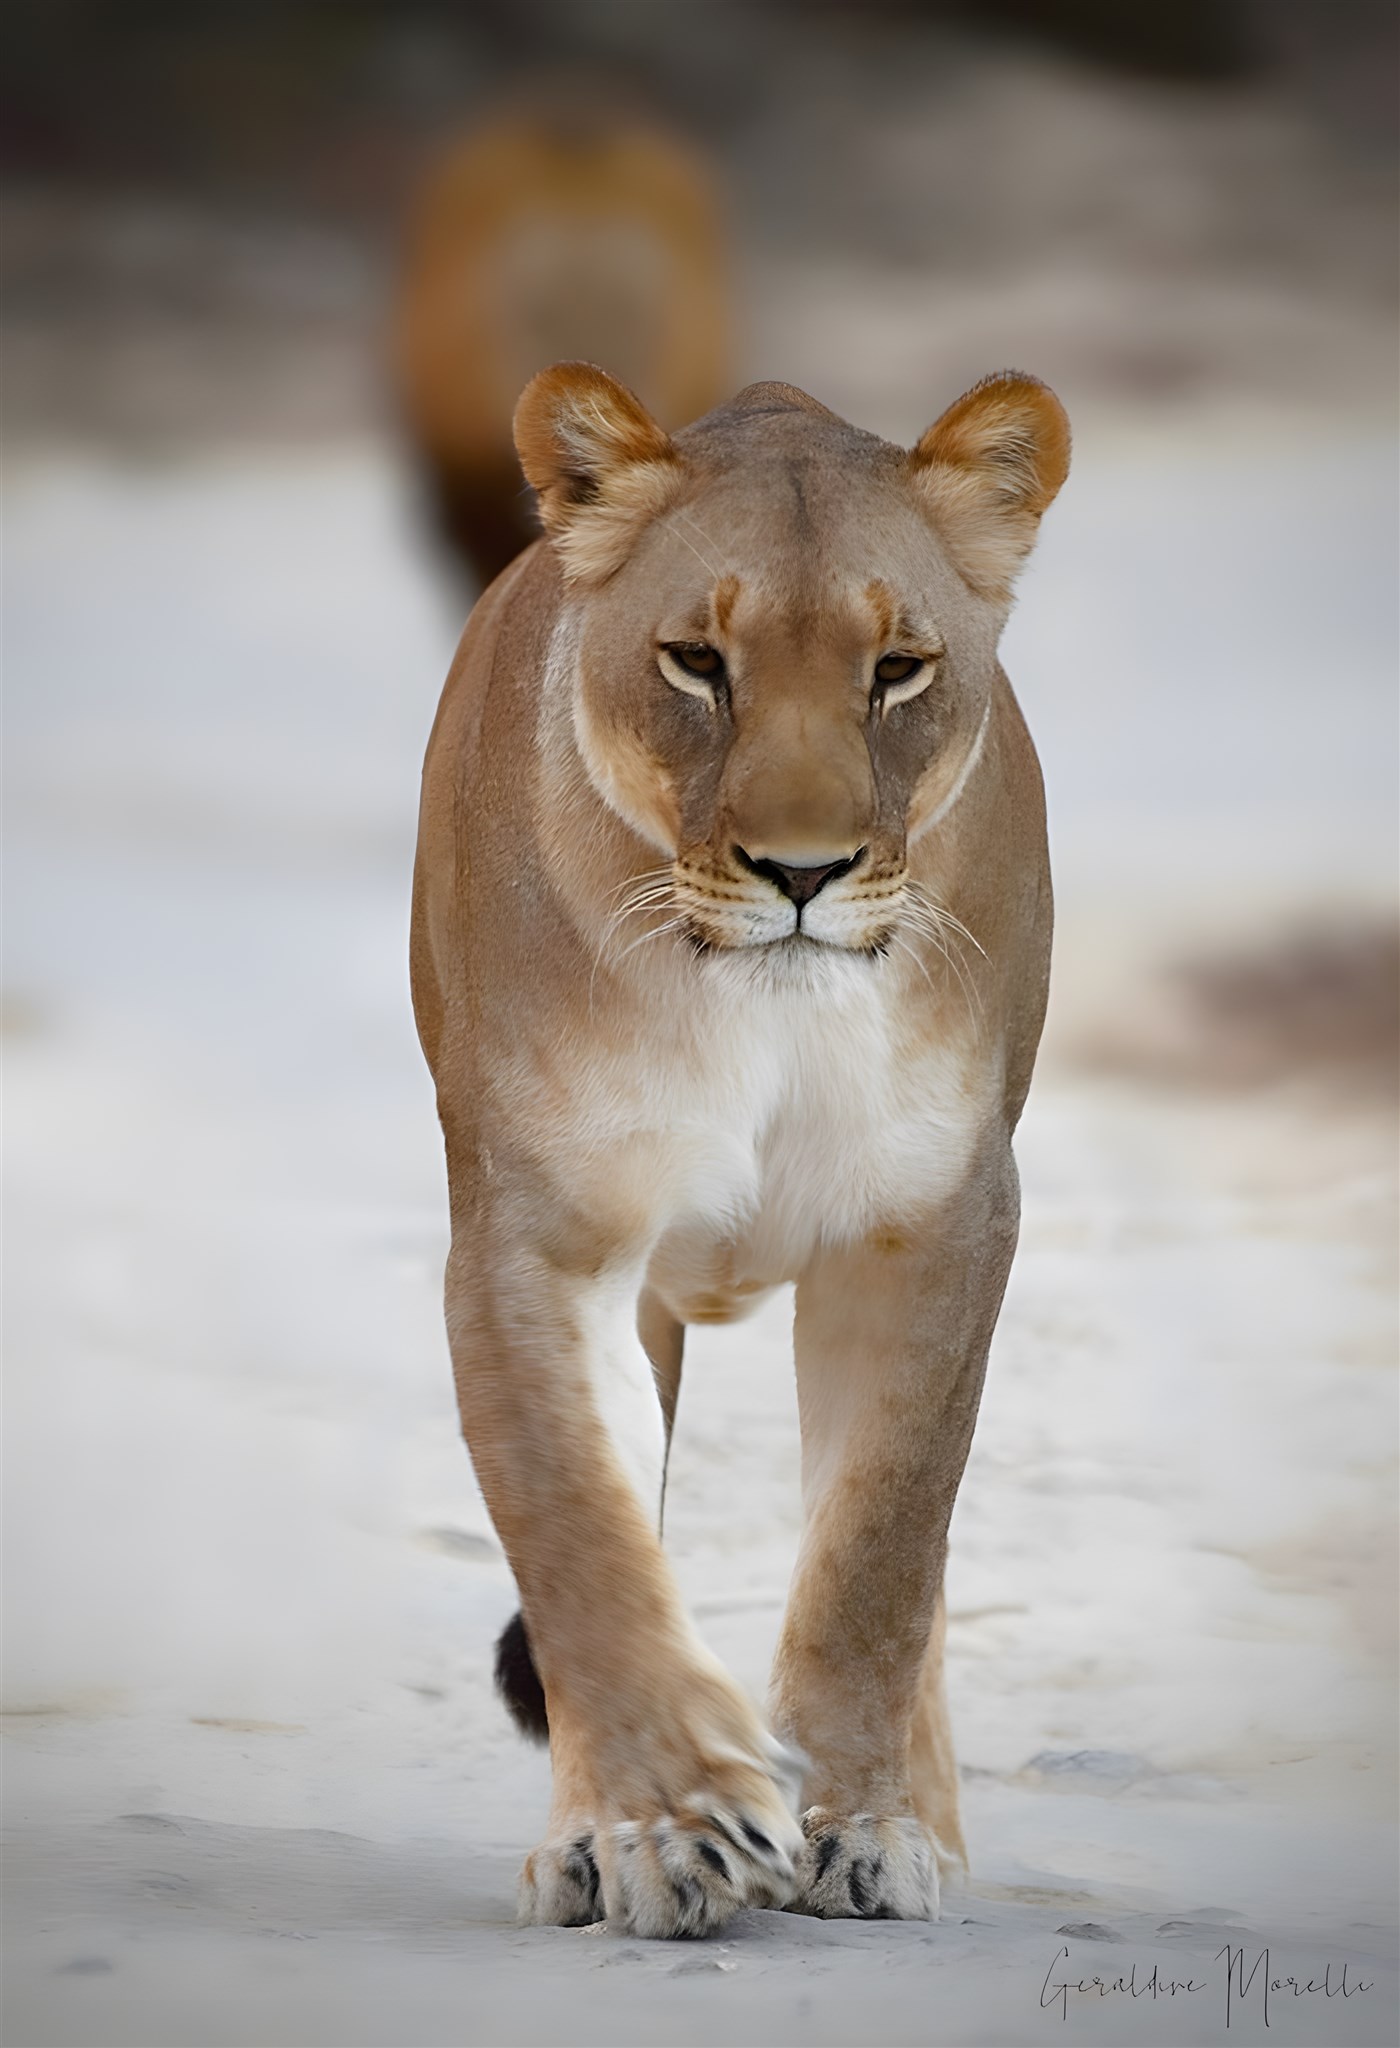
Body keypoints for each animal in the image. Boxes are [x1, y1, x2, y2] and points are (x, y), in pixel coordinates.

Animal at [410, 360, 1069, 1935]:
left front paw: (861, 1827)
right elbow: (581, 1533)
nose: (803, 873)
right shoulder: (539, 1238)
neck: (764, 1015)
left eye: (898, 670)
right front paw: (671, 1826)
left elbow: (880, 1551)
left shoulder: (938, 1227)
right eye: (696, 663)